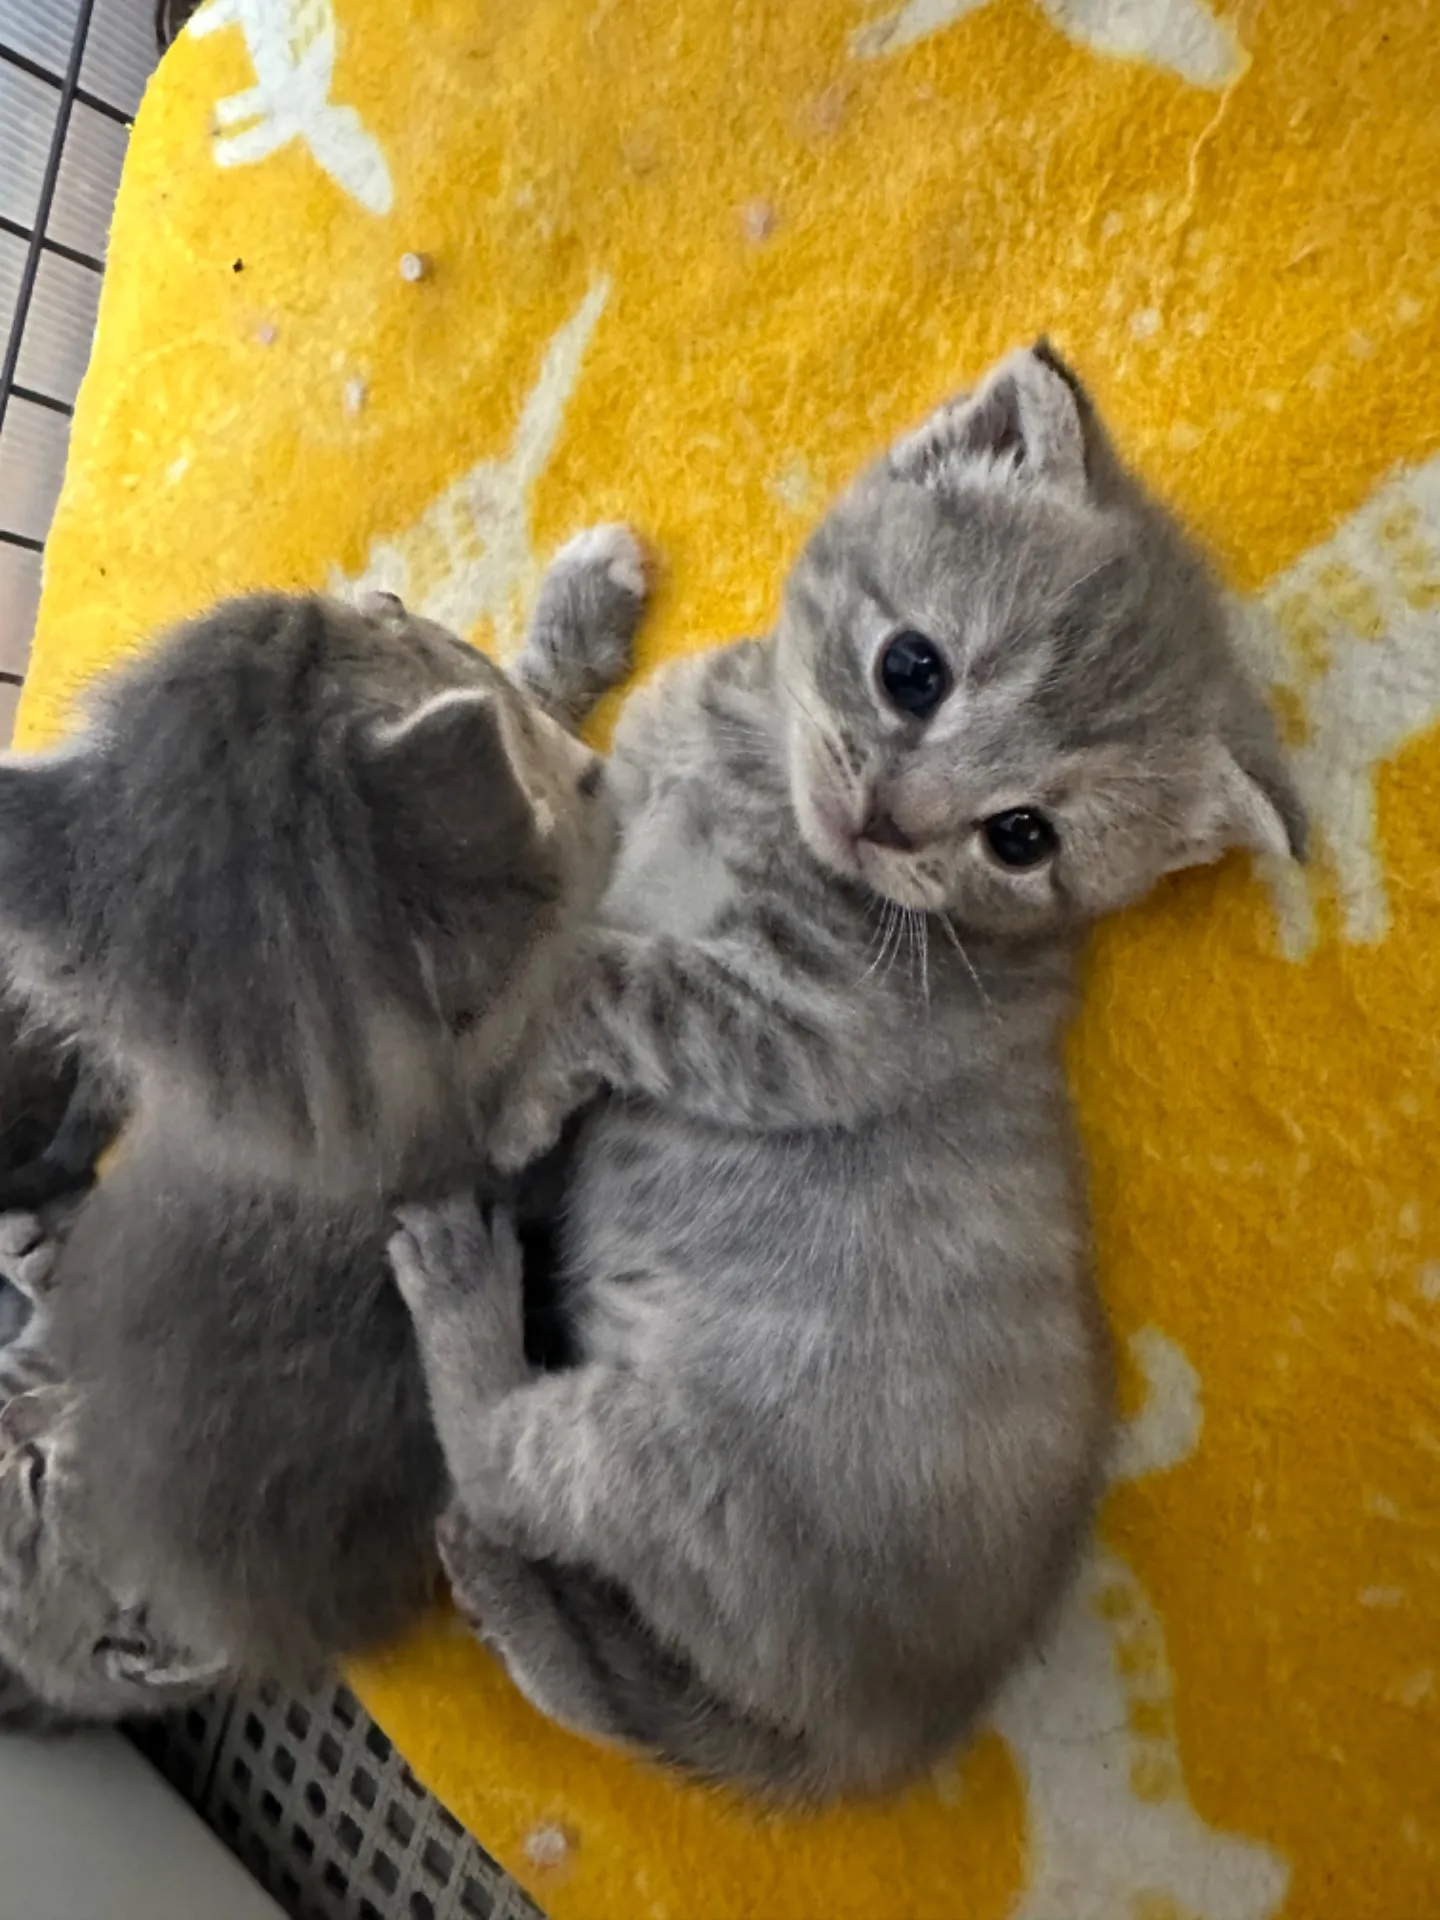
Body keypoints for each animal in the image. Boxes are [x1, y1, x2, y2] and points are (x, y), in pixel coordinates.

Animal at [391, 345, 1305, 1797]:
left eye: (1021, 837)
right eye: (911, 669)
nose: (889, 821)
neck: (750, 780)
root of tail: (883, 1738)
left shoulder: (808, 1026)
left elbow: (610, 972)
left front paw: (526, 1072)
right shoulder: (619, 796)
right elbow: (519, 738)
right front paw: (579, 613)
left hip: (658, 1463)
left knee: (503, 1484)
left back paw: (464, 1305)